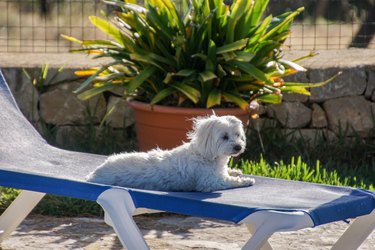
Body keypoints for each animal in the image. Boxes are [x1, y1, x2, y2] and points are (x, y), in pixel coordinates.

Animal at [86, 114, 256, 192]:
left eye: (238, 135)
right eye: (225, 137)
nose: (238, 147)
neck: (205, 153)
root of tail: (95, 173)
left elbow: (228, 173)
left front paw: (235, 171)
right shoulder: (209, 182)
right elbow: (228, 181)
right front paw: (246, 180)